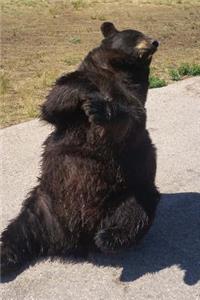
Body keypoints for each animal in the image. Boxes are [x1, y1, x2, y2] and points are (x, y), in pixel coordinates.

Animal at [0, 22, 159, 278]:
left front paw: (101, 108)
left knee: (134, 214)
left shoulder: (133, 97)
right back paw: (4, 257)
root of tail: (71, 239)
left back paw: (108, 237)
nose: (155, 42)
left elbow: (130, 120)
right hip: (41, 205)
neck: (118, 71)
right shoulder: (78, 86)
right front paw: (84, 92)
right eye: (136, 34)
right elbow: (56, 100)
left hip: (131, 191)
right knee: (18, 230)